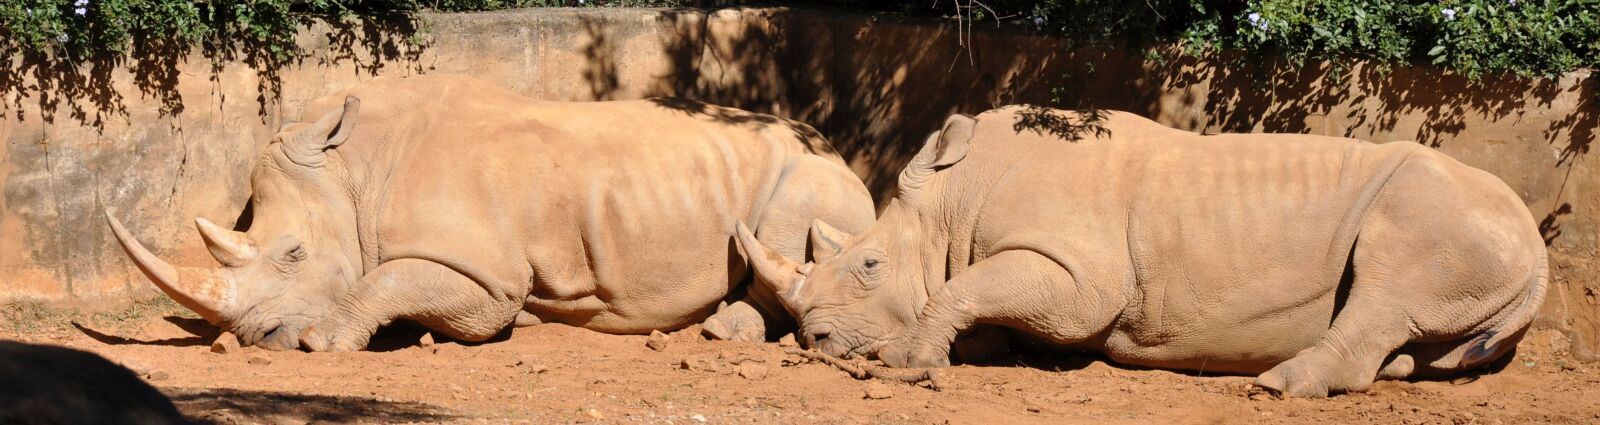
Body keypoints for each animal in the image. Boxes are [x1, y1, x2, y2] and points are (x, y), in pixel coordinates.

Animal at [106, 75, 875, 352]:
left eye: (292, 253)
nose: (258, 339)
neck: (355, 171)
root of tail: (843, 153)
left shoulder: (489, 277)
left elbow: (386, 280)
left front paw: (323, 341)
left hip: (813, 172)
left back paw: (722, 331)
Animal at [736, 106, 1549, 397]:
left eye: (868, 266)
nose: (814, 341)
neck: (953, 199)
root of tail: (1538, 239)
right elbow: (978, 295)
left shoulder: (1080, 274)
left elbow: (966, 287)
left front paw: (905, 361)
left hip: (1443, 213)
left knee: (1387, 284)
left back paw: (1278, 385)